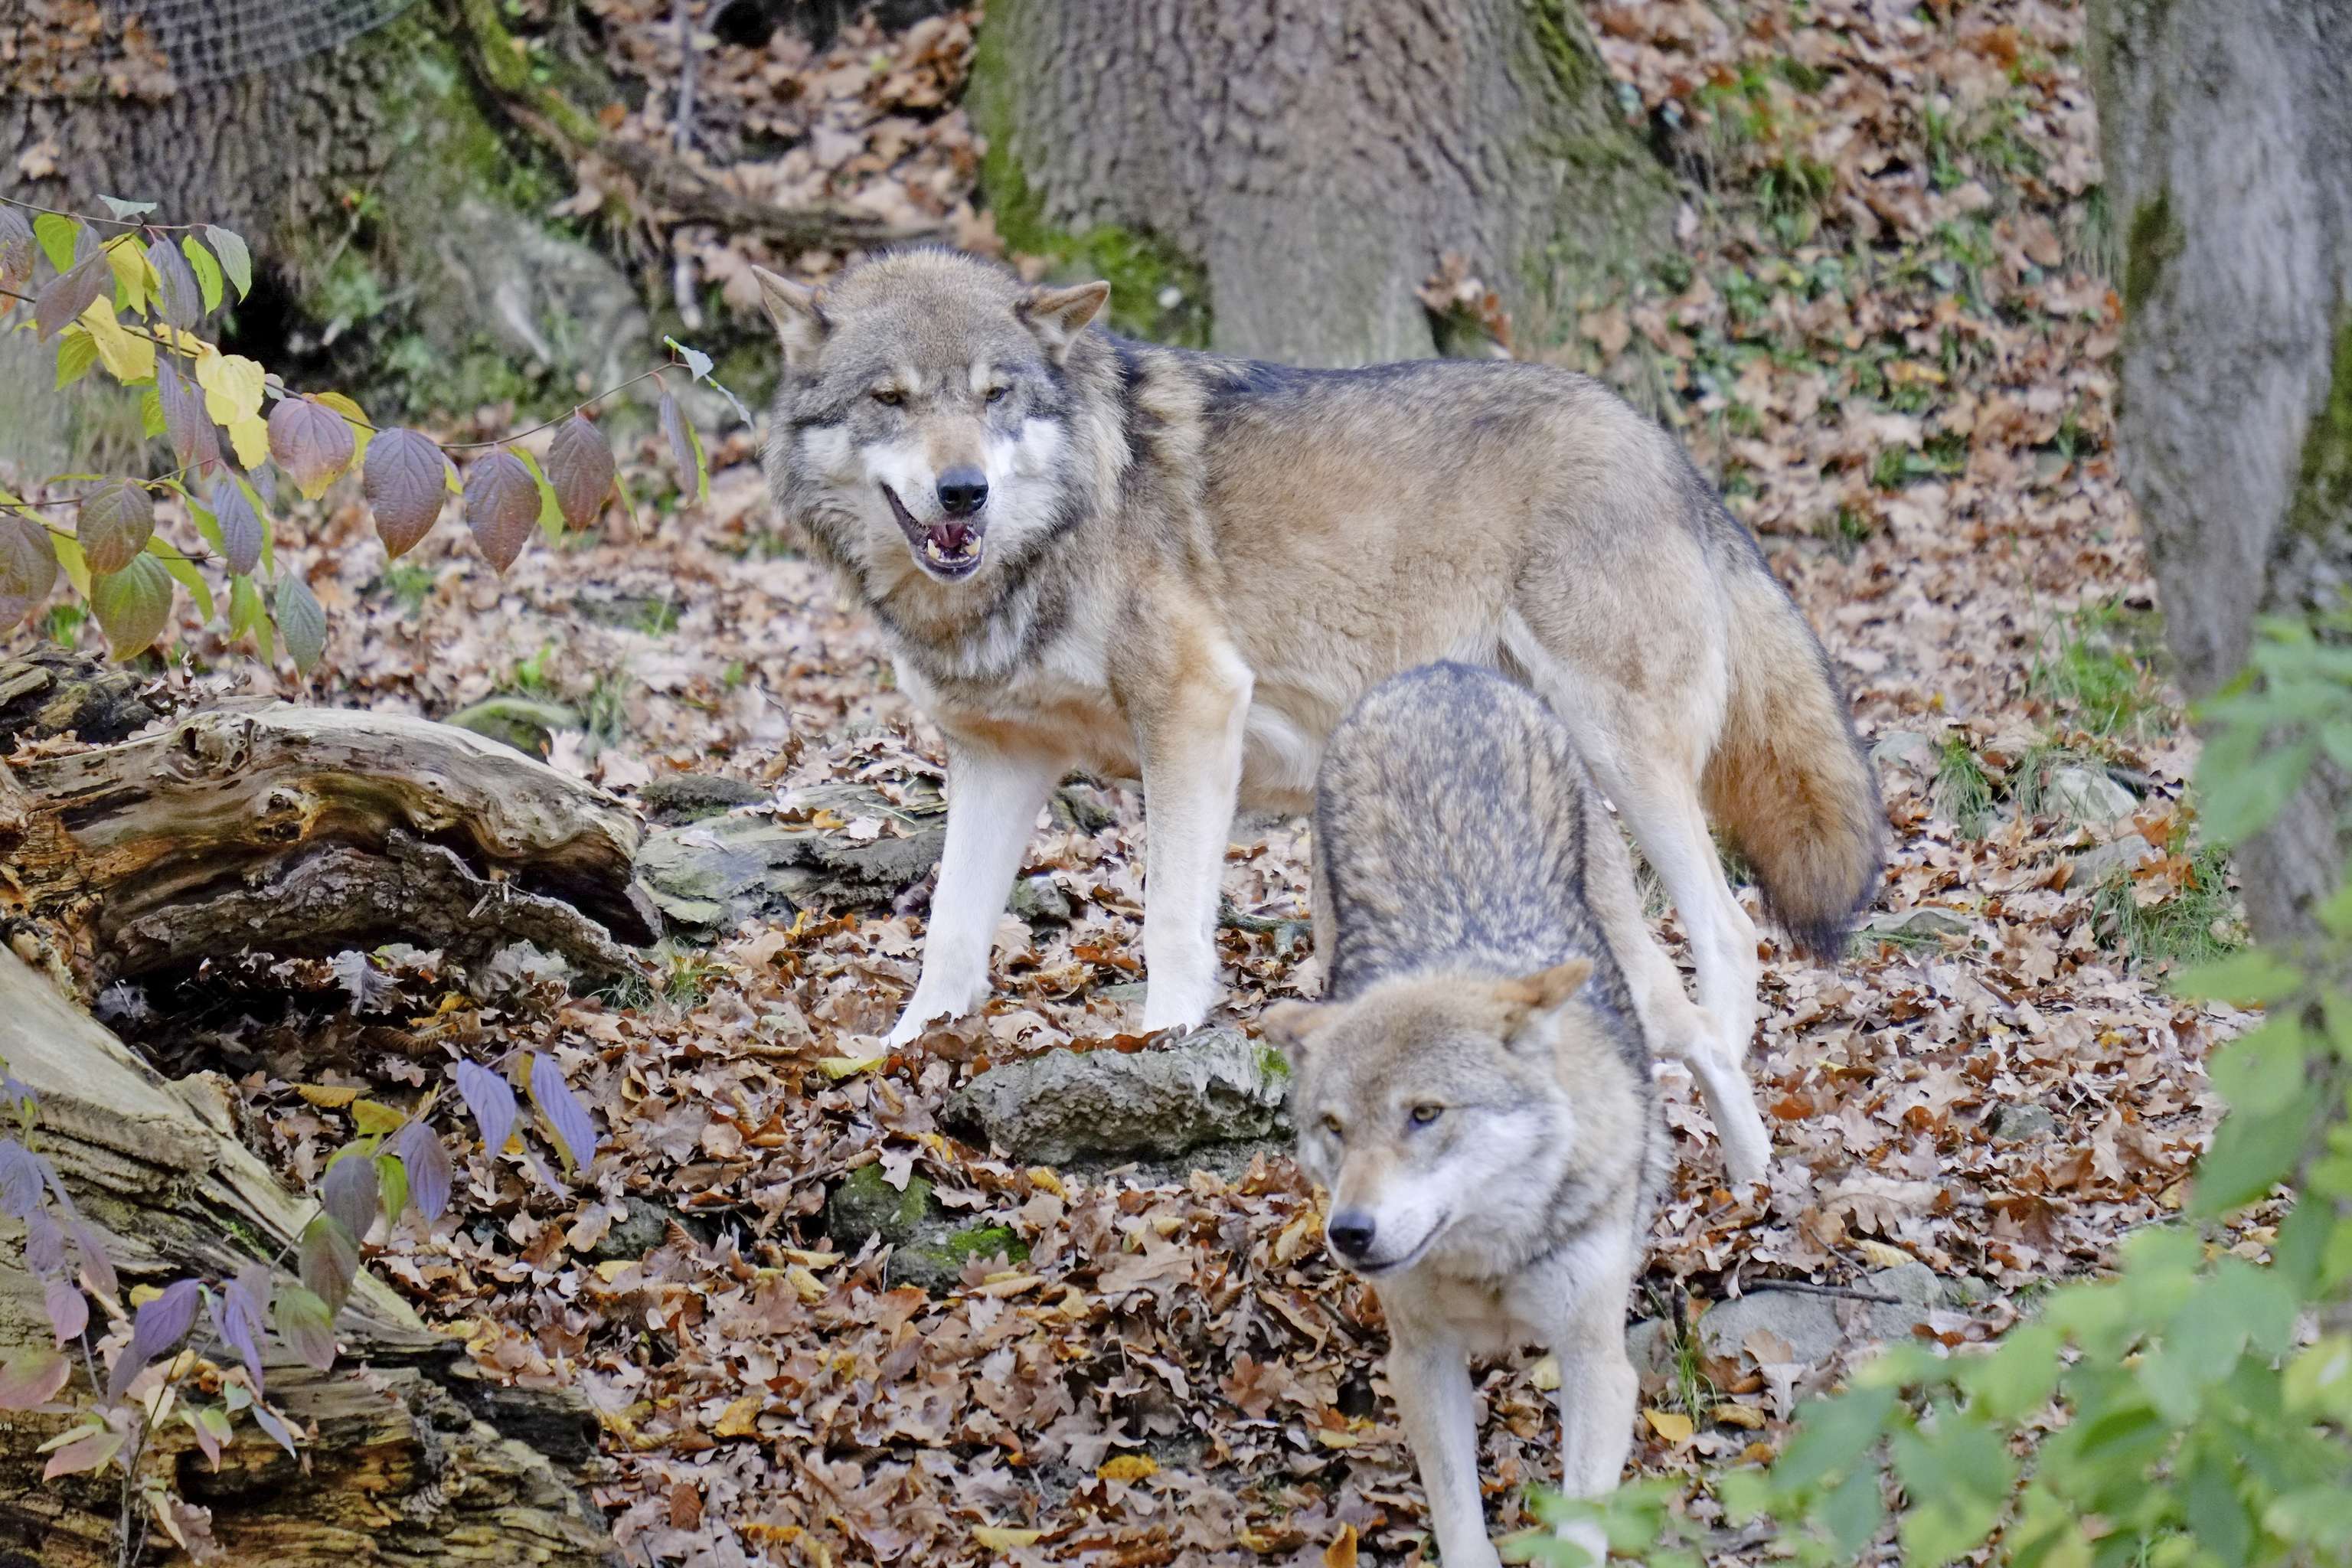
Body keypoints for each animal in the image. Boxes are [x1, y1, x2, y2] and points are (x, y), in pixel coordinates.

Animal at [753, 249, 1878, 1175]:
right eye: (890, 398)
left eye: (995, 396)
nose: (963, 493)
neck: (1051, 534)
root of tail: (1665, 446)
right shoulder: (997, 759)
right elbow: (951, 933)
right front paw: (902, 1052)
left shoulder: (1194, 710)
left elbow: (1171, 920)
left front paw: (1160, 1042)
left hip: (1624, 753)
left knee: (1728, 938)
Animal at [1263, 663, 1698, 1568]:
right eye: (1334, 1127)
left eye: (1426, 1114)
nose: (1349, 1231)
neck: (1488, 1260)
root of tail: (1442, 671)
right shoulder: (1420, 1360)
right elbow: (1459, 1516)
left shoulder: (1600, 1364)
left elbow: (1579, 1528)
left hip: (1646, 974)